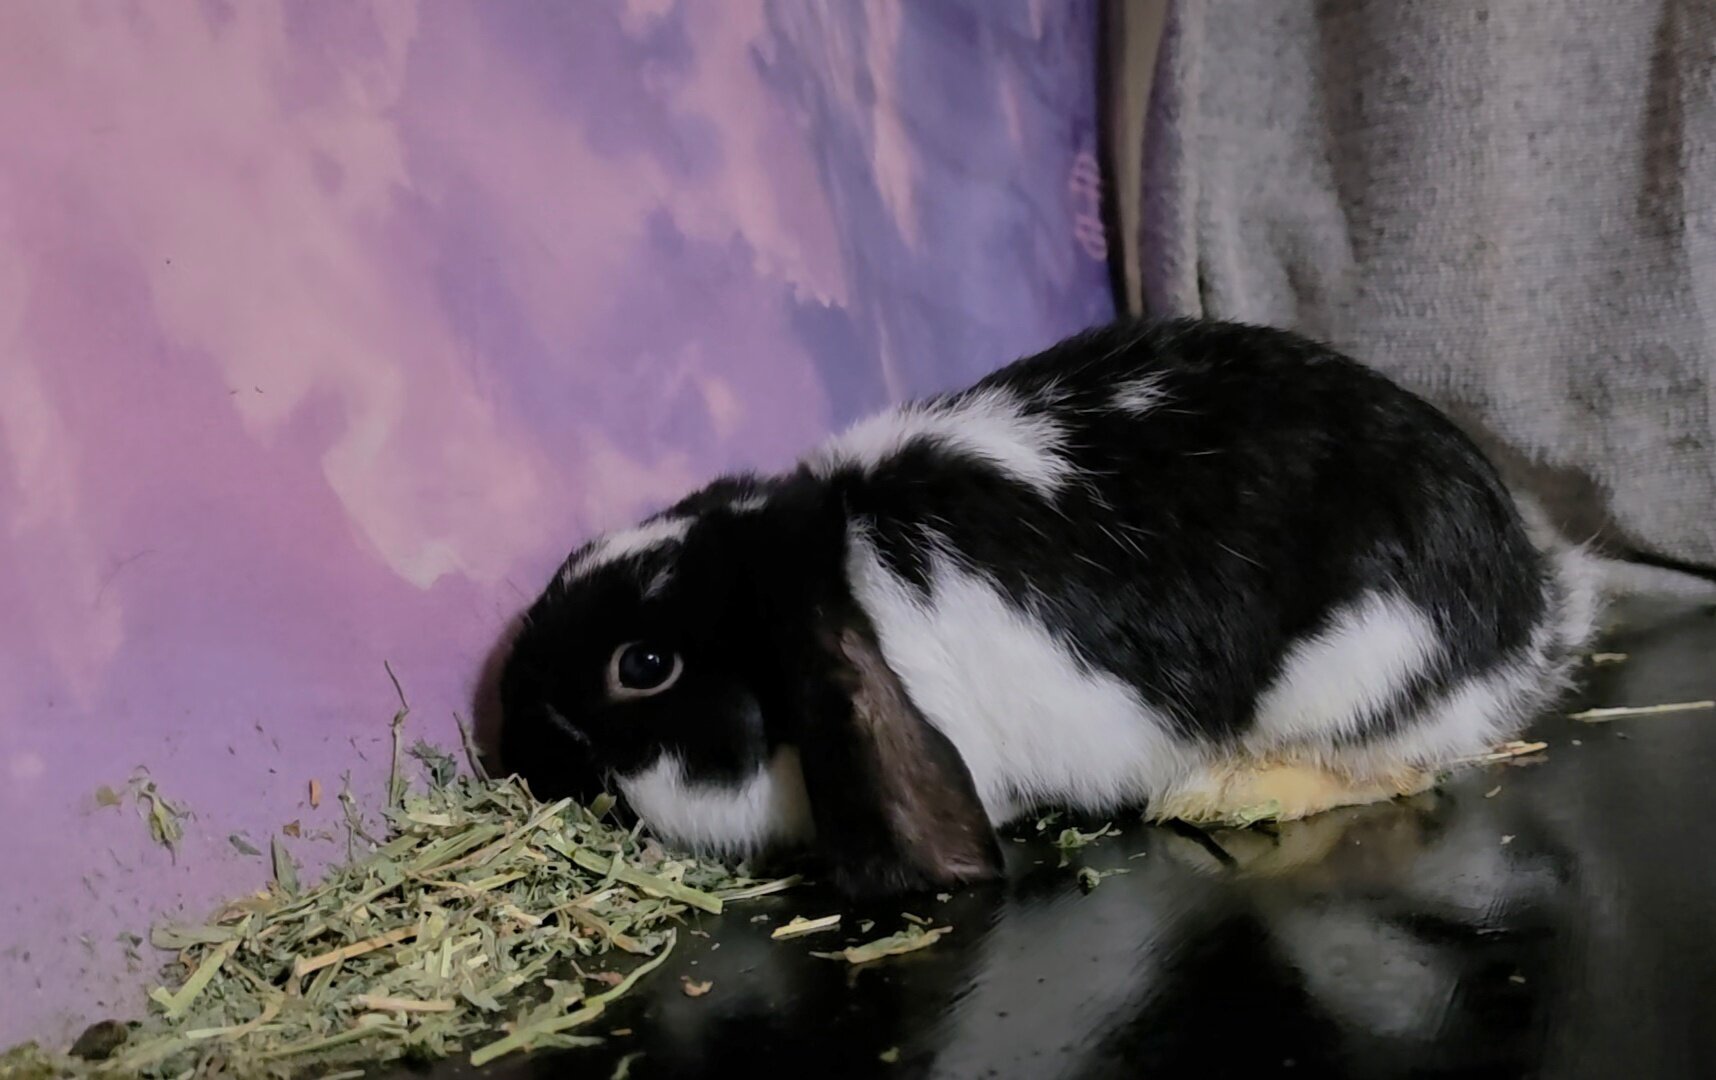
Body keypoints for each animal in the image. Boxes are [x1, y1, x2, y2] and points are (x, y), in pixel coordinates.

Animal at [496, 318, 1600, 897]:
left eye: (644, 666)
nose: (516, 719)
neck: (836, 564)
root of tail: (1529, 610)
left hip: (1358, 668)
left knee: (1398, 769)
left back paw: (1221, 794)